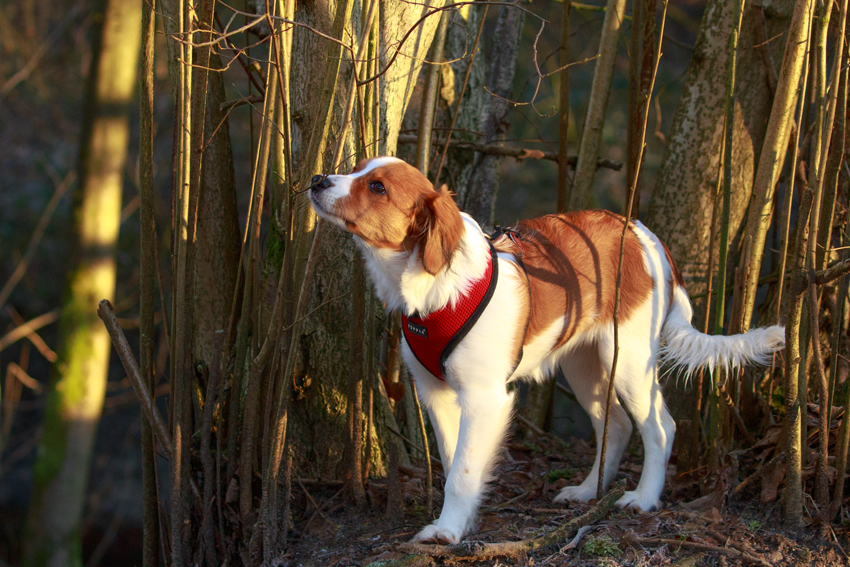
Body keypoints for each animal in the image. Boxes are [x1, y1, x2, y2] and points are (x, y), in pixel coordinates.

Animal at [306, 156, 780, 544]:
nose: (316, 179)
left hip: (629, 359)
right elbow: (456, 458)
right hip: (583, 365)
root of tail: (645, 236)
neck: (435, 286)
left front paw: (447, 531)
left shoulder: (485, 398)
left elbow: (461, 472)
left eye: (377, 187)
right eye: (357, 169)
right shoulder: (438, 395)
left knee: (660, 427)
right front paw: (461, 521)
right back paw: (589, 491)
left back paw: (643, 498)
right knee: (617, 425)